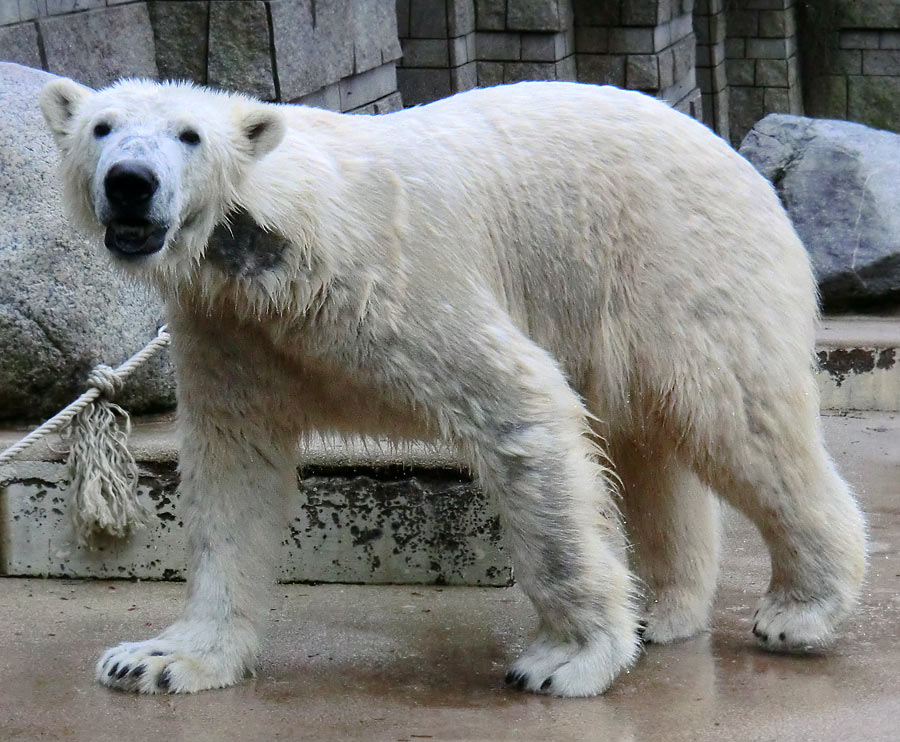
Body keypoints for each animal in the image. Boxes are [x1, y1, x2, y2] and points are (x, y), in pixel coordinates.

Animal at [38, 75, 868, 696]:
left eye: (189, 135)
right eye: (103, 127)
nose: (131, 183)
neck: (276, 244)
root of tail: (734, 155)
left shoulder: (388, 284)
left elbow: (522, 405)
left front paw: (564, 661)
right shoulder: (230, 328)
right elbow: (231, 475)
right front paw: (158, 659)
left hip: (679, 263)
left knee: (739, 420)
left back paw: (800, 609)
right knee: (649, 446)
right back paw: (663, 612)